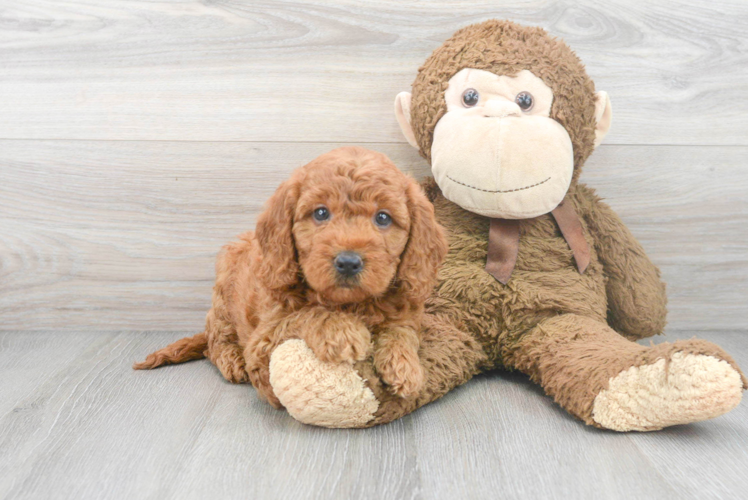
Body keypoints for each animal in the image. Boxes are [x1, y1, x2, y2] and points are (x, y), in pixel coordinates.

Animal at [134, 146, 448, 408]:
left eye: (383, 218)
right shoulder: (263, 340)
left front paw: (404, 365)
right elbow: (306, 313)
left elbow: (402, 330)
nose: (348, 262)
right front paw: (342, 330)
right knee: (215, 339)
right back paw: (230, 359)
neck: (349, 303)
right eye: (320, 213)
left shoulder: (406, 311)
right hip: (223, 290)